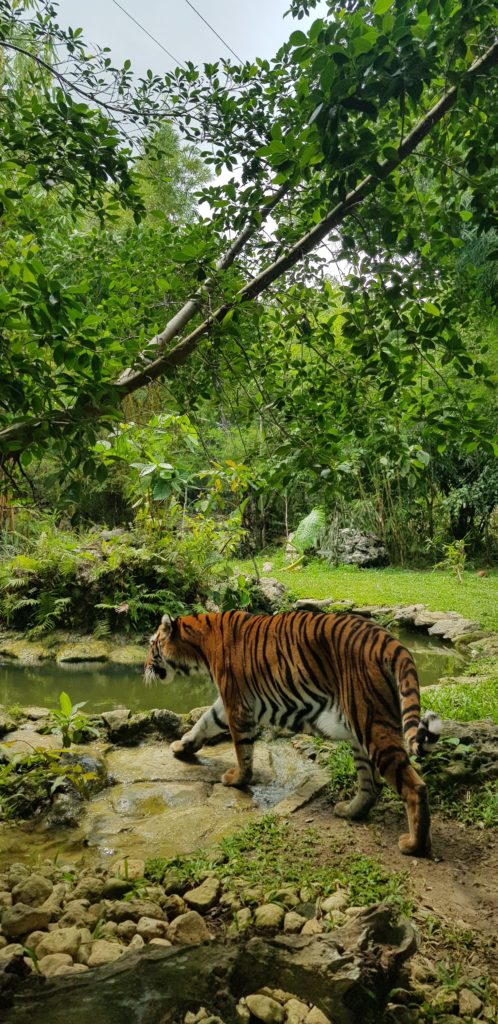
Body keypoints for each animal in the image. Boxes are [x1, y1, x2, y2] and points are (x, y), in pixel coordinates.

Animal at [143, 606, 440, 856]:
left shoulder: (236, 703)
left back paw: (414, 845)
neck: (199, 646)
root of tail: (390, 640)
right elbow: (205, 721)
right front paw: (181, 747)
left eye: (151, 645)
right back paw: (350, 811)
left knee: (414, 786)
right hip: (360, 729)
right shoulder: (226, 704)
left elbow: (242, 749)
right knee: (371, 784)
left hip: (371, 723)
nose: (144, 667)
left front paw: (237, 779)